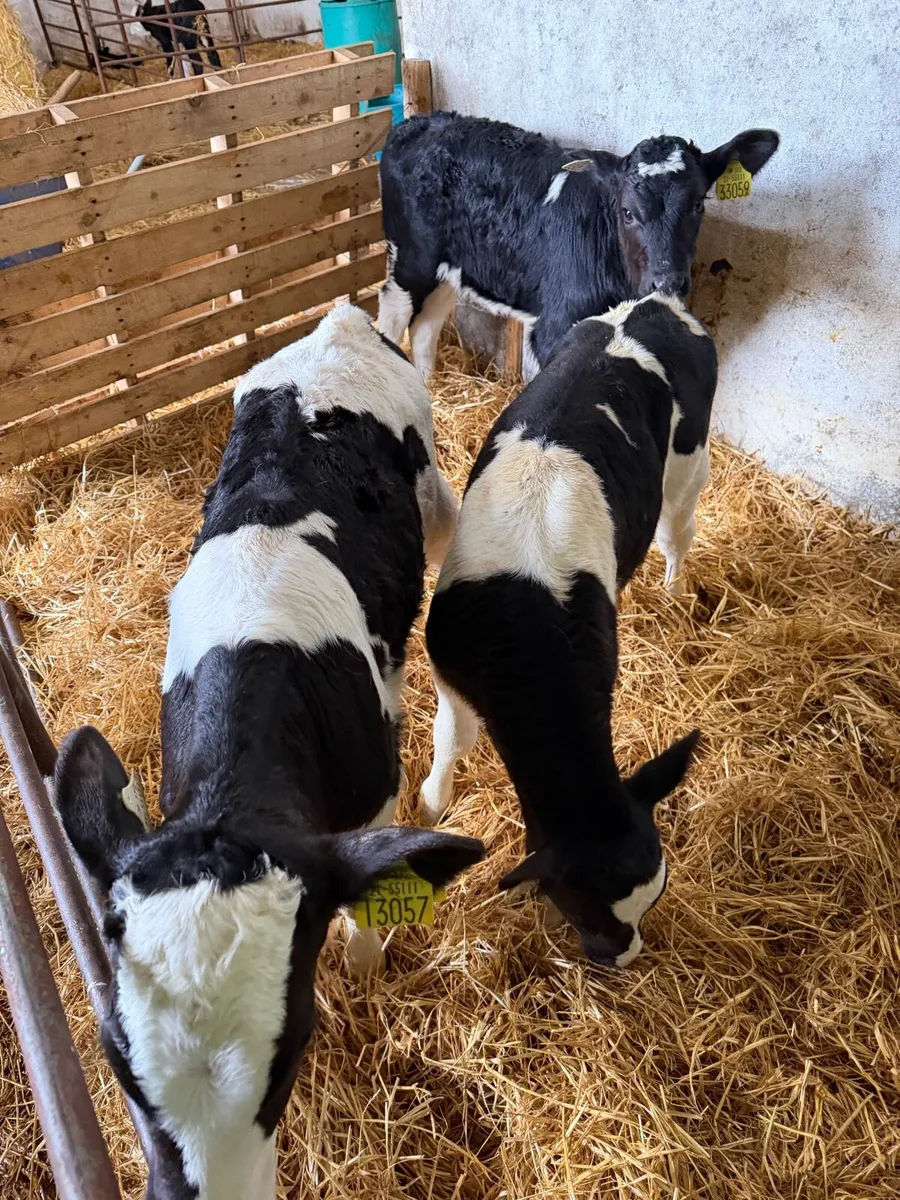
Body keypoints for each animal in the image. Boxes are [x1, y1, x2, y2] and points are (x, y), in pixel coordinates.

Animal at [52, 305, 480, 1200]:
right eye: (118, 1064)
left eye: (291, 1056)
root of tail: (338, 320)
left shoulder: (373, 790)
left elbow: (362, 899)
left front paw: (364, 967)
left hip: (432, 495)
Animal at [378, 112, 778, 376]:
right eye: (627, 212)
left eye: (698, 205)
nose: (666, 282)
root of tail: (420, 122)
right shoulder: (554, 328)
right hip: (411, 256)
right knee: (394, 313)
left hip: (451, 266)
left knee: (426, 325)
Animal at [419, 292, 717, 967]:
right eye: (584, 909)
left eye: (655, 898)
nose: (621, 960)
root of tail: (655, 304)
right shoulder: (449, 666)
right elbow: (453, 738)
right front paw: (433, 802)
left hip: (689, 465)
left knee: (677, 534)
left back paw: (673, 594)